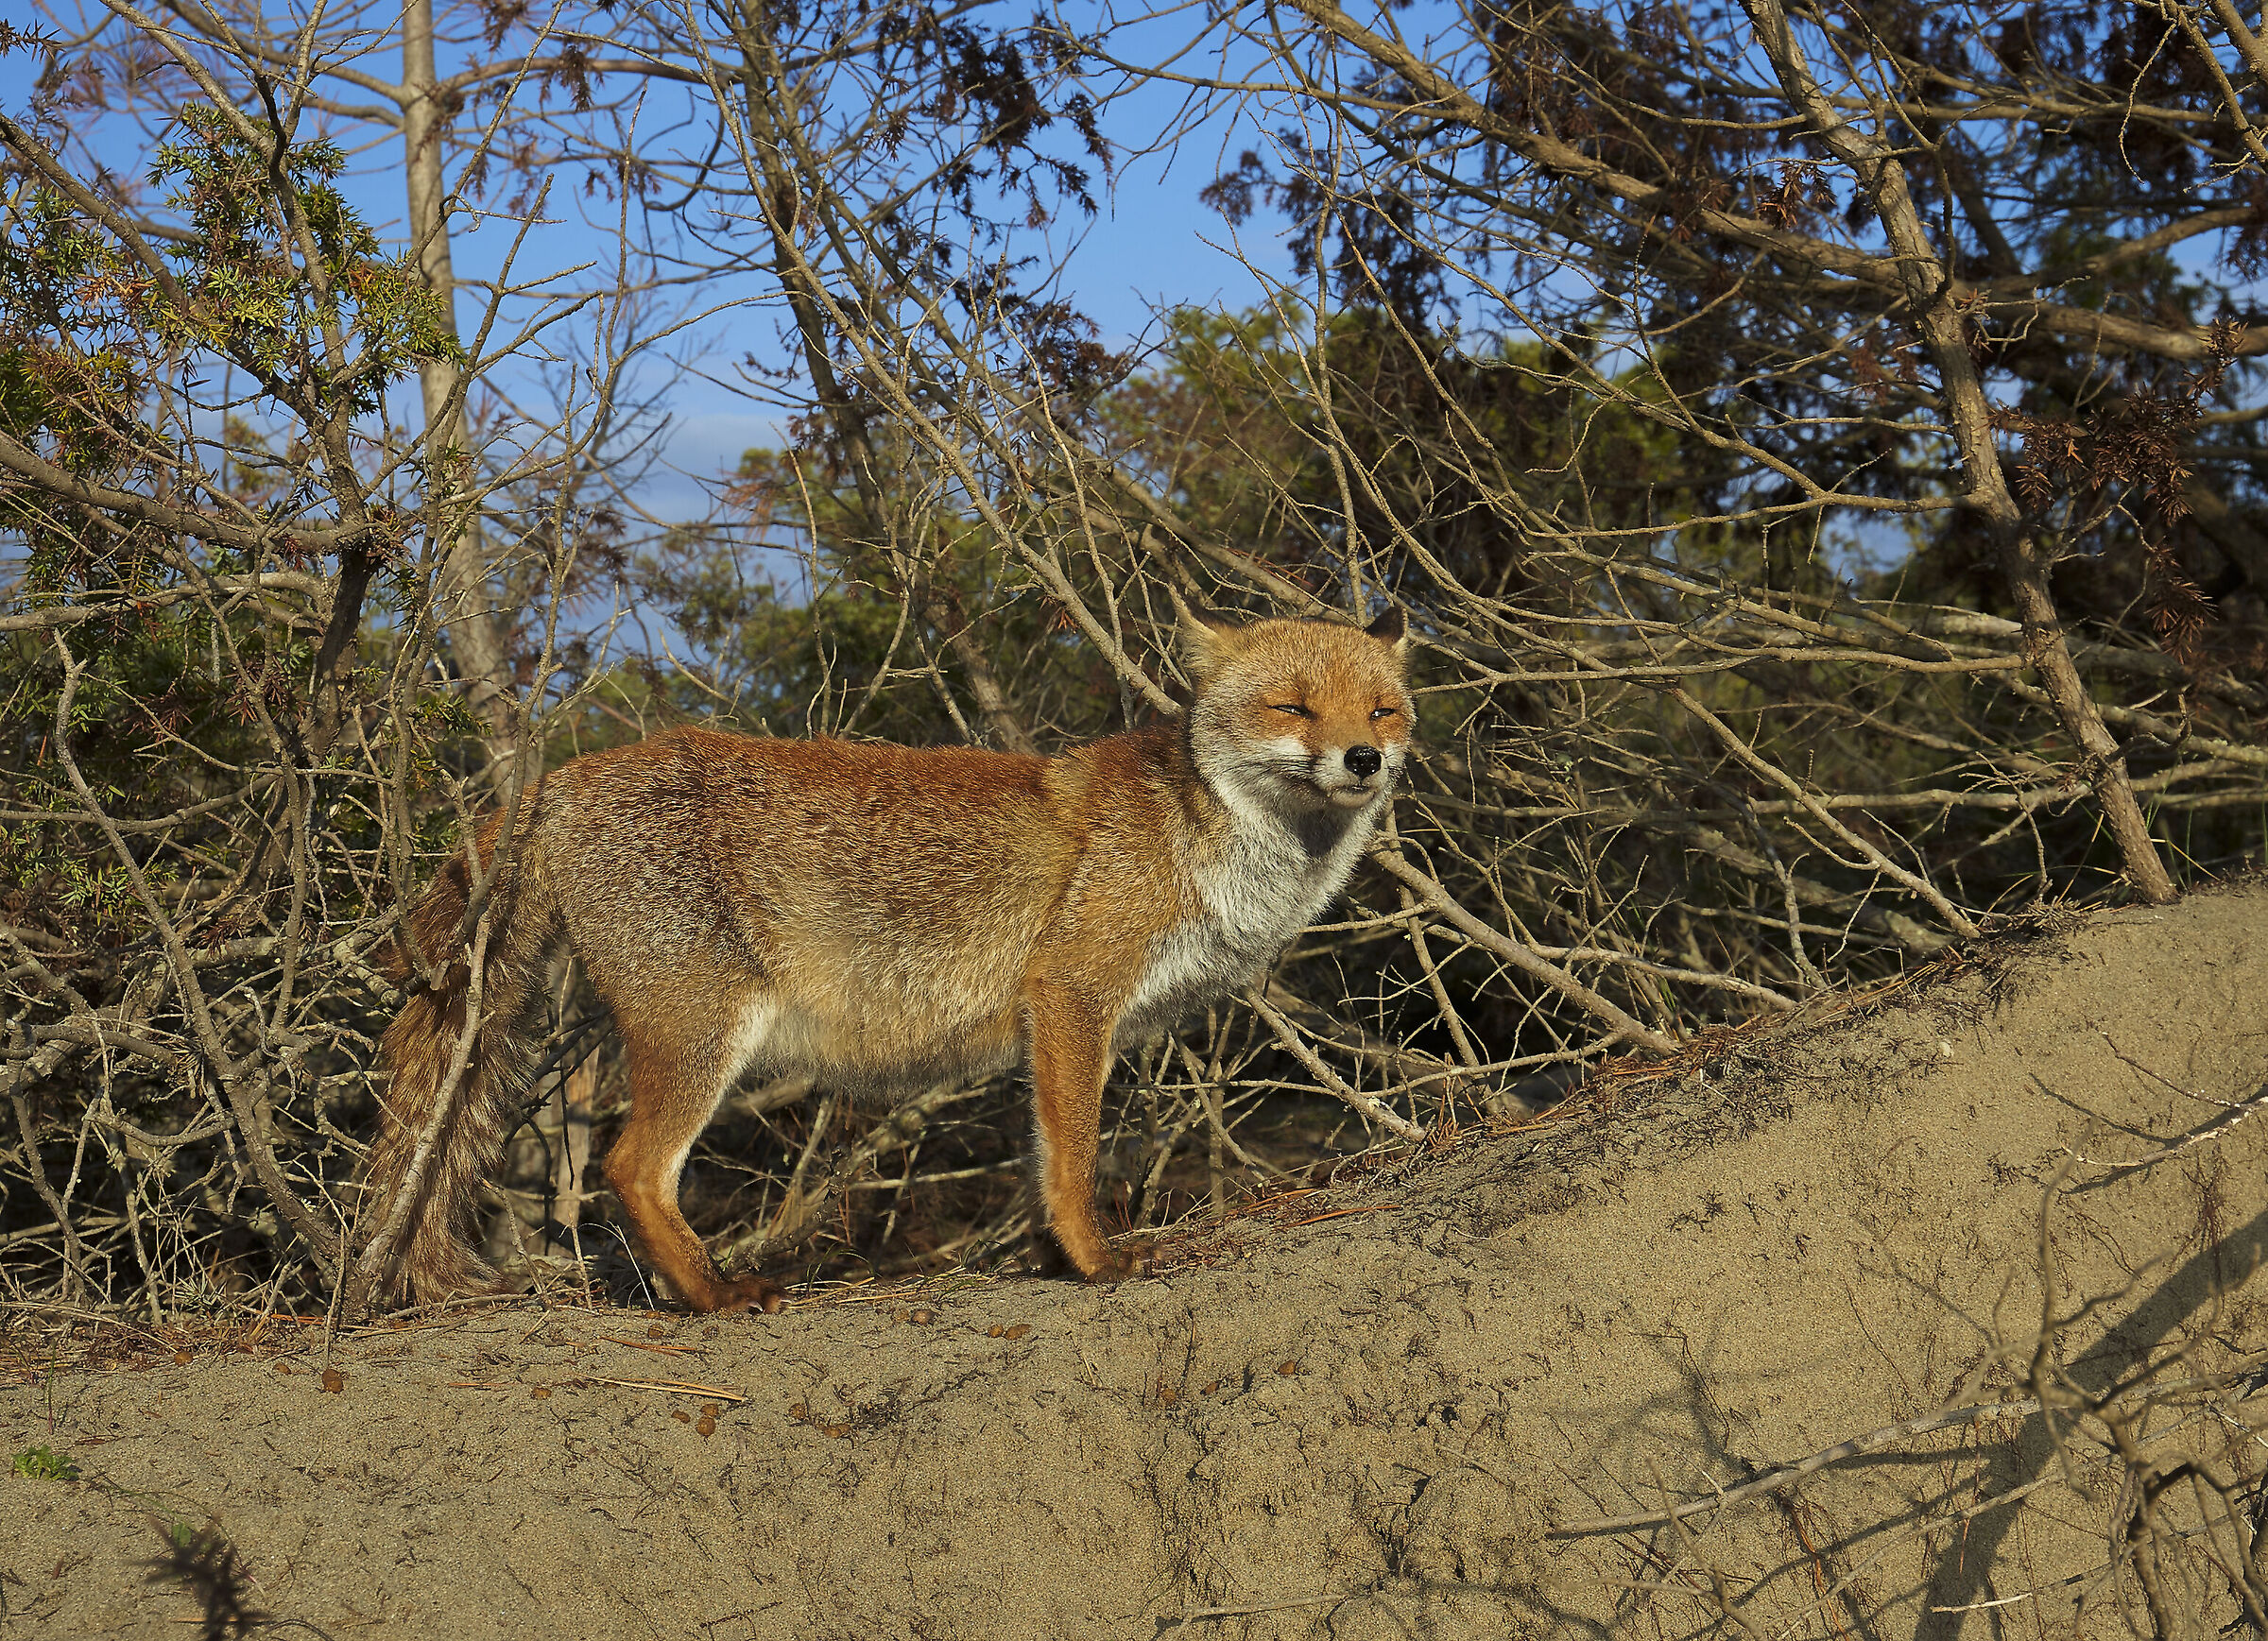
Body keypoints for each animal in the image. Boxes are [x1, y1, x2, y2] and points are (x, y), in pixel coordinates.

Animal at [355, 598, 1412, 1314]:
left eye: (1382, 711)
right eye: (1293, 707)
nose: (1361, 759)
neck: (1206, 841)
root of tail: (567, 774)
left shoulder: (1050, 1026)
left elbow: (1040, 1159)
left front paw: (1049, 1260)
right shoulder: (1073, 992)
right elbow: (1074, 1158)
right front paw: (1095, 1261)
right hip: (703, 1033)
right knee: (630, 1168)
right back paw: (716, 1294)